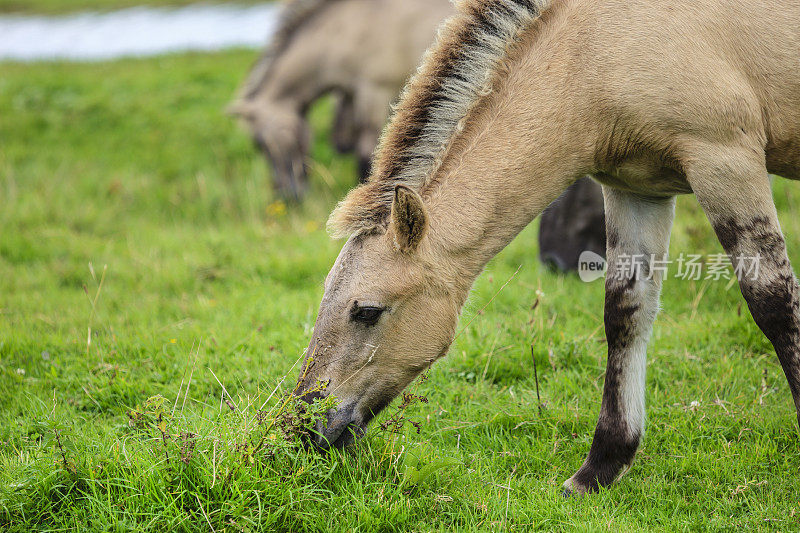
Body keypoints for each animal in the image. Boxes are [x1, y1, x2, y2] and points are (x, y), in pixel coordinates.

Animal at [292, 0, 800, 492]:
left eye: (366, 312)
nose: (302, 427)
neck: (597, 51)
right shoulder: (637, 189)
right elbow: (625, 314)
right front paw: (599, 469)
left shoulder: (725, 161)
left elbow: (774, 302)